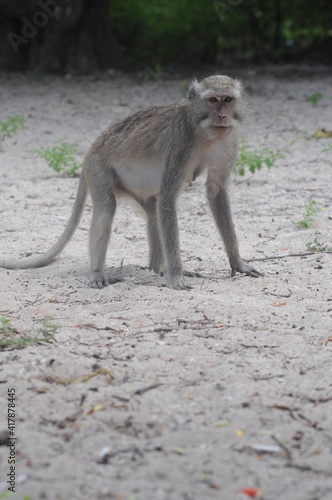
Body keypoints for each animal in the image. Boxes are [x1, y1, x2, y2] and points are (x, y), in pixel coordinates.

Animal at [1, 76, 262, 292]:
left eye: (228, 100)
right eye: (213, 100)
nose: (222, 116)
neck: (205, 133)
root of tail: (92, 148)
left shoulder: (229, 144)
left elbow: (215, 191)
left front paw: (237, 263)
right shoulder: (181, 142)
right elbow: (168, 199)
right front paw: (176, 276)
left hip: (134, 190)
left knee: (154, 212)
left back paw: (158, 268)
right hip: (98, 168)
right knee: (108, 208)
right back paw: (99, 273)